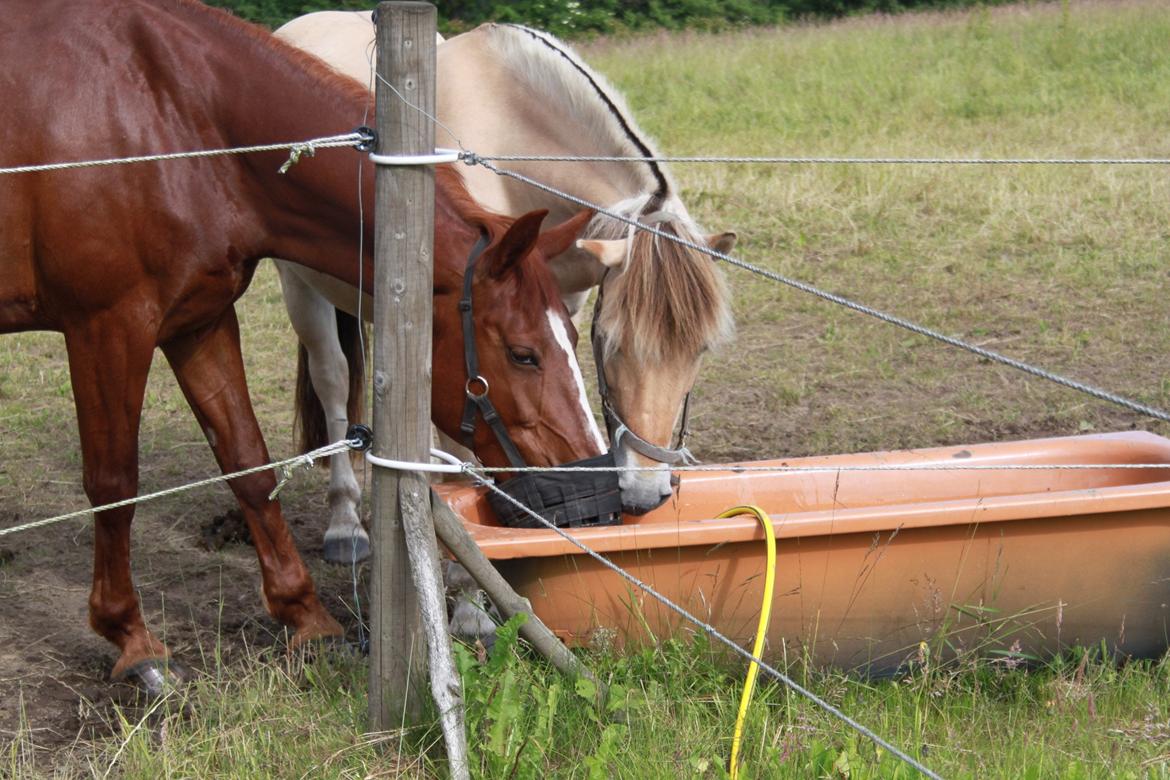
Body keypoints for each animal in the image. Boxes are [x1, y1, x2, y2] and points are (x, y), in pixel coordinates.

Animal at [0, 0, 603, 687]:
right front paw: (131, 638)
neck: (165, 113)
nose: (589, 488)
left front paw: (306, 617)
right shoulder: (107, 328)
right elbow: (113, 483)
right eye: (523, 354)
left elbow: (249, 463)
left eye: (572, 336)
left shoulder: (198, 322)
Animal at [273, 12, 730, 561]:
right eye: (612, 342)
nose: (646, 492)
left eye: (701, 350)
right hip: (299, 286)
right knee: (333, 380)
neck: (508, 138)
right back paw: (345, 523)